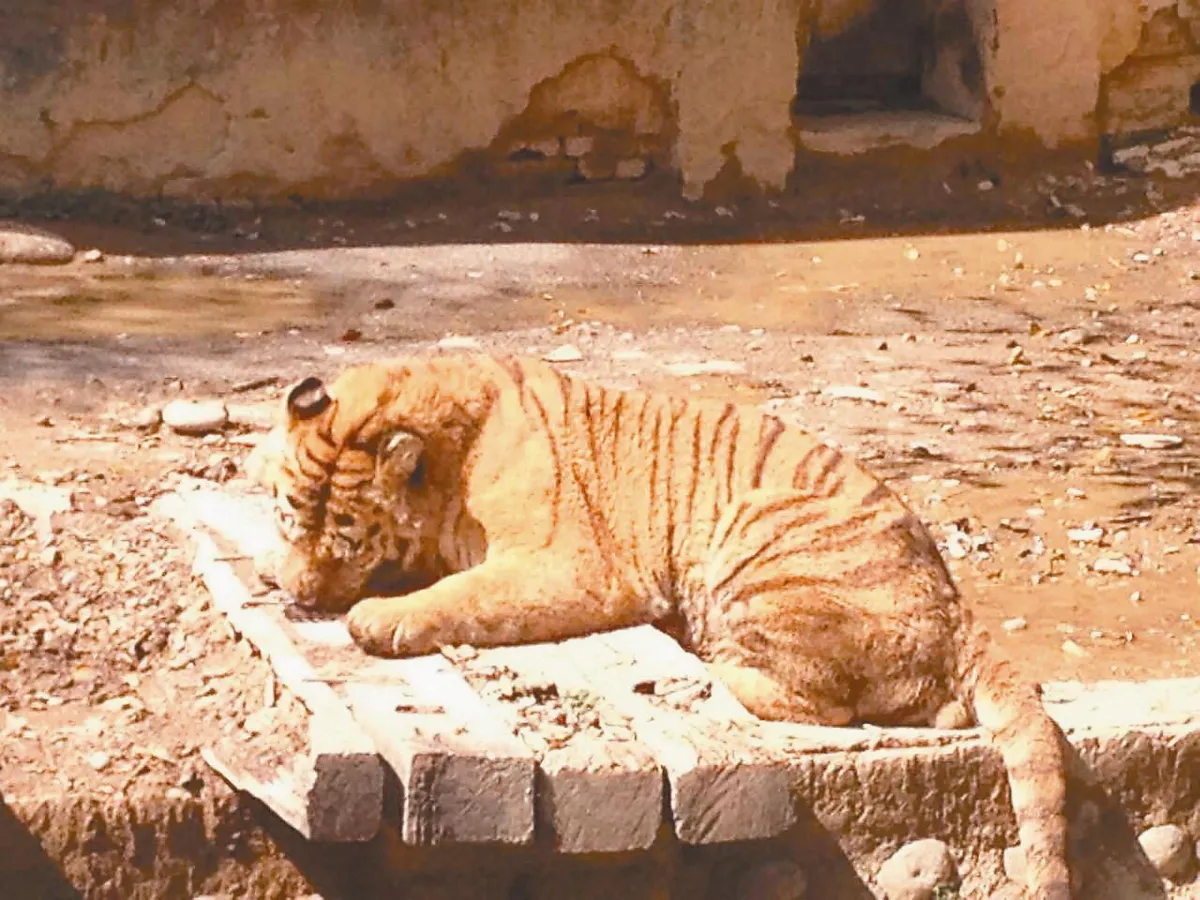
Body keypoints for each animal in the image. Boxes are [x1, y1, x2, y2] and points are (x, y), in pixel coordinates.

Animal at [252, 352, 1072, 900]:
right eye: (291, 513)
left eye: (348, 537)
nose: (301, 594)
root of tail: (960, 608)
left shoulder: (570, 564)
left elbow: (462, 596)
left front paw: (377, 617)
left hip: (754, 527)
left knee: (824, 702)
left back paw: (706, 660)